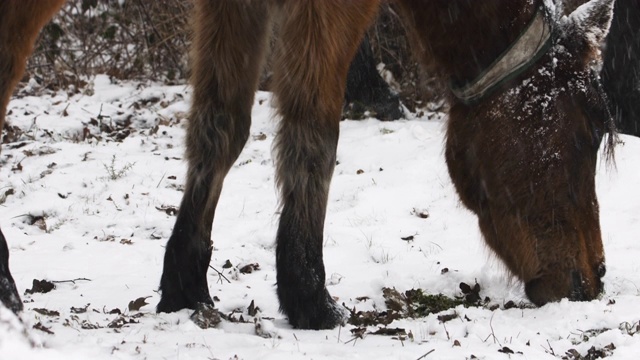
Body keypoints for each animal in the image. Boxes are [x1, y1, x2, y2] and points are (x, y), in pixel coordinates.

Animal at [1, 0, 620, 330]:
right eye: (587, 133)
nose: (592, 279)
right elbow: (314, 128)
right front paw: (308, 294)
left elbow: (221, 125)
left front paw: (185, 284)